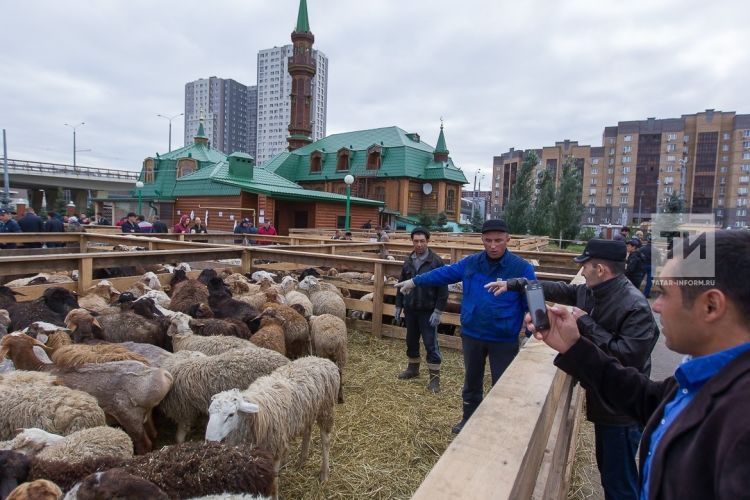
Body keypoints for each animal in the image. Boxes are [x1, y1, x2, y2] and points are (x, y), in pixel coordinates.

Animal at [1, 334, 173, 456]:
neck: (41, 367)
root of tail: (162, 375)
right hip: (146, 415)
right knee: (153, 436)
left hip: (130, 416)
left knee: (144, 444)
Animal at [209, 358, 344, 486]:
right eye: (209, 413)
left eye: (231, 414)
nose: (210, 440)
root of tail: (323, 360)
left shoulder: (274, 448)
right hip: (307, 412)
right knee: (307, 431)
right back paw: (301, 461)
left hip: (326, 409)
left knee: (325, 441)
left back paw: (324, 473)